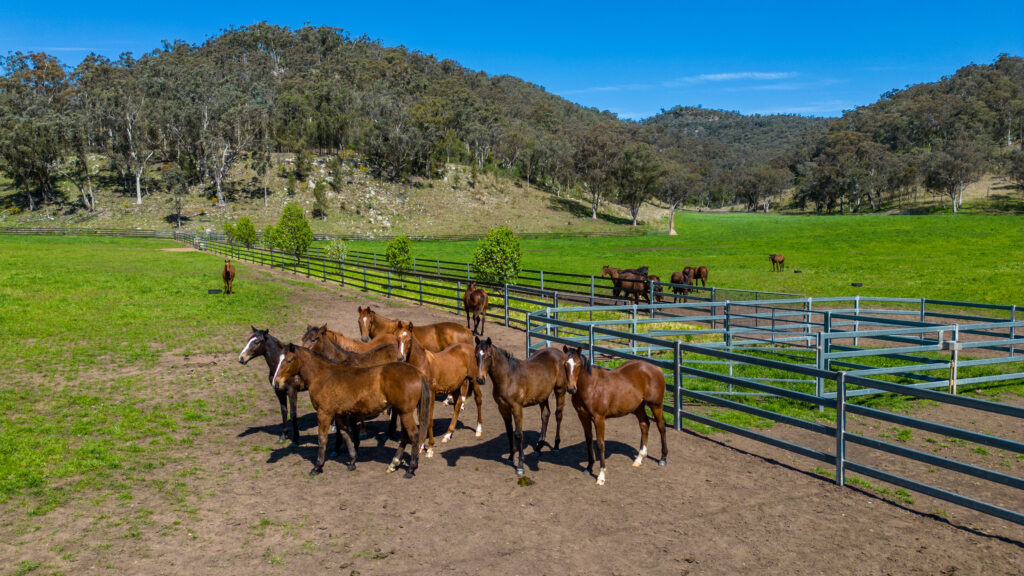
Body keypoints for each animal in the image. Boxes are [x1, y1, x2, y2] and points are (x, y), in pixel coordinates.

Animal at [270, 342, 430, 473]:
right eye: (278, 360)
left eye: (289, 360)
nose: (275, 383)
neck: (323, 377)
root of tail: (418, 373)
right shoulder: (339, 413)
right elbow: (345, 434)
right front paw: (352, 461)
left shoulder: (324, 413)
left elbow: (322, 438)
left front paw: (318, 466)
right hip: (402, 412)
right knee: (405, 435)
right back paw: (394, 463)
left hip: (405, 412)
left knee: (413, 435)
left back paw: (411, 468)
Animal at [395, 319, 483, 455]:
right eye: (397, 339)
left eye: (409, 339)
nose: (400, 358)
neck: (423, 364)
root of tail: (469, 348)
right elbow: (422, 419)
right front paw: (421, 445)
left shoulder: (431, 394)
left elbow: (430, 420)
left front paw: (430, 448)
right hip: (456, 385)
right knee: (457, 405)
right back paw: (448, 434)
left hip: (474, 380)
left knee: (478, 399)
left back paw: (478, 429)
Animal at [473, 334, 569, 473]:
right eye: (476, 355)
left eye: (488, 355)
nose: (480, 379)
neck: (508, 378)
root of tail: (560, 353)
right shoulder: (503, 408)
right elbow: (509, 432)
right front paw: (510, 458)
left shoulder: (517, 407)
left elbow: (518, 434)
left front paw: (520, 466)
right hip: (542, 395)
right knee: (545, 415)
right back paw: (538, 448)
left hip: (560, 391)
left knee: (558, 415)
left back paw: (556, 447)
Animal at [565, 344, 667, 483]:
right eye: (565, 364)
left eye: (578, 365)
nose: (571, 389)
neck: (591, 387)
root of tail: (656, 369)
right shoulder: (583, 417)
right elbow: (588, 440)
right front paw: (589, 467)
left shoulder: (599, 418)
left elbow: (600, 444)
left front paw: (601, 476)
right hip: (638, 406)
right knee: (644, 425)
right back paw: (639, 458)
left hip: (655, 405)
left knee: (661, 426)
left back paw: (663, 459)